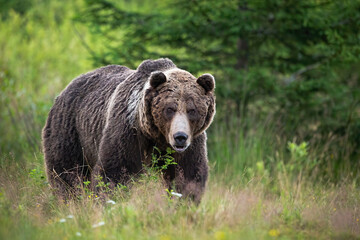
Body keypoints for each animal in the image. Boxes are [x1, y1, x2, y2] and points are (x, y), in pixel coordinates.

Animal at [42, 58, 217, 202]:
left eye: (192, 110)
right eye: (169, 109)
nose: (180, 137)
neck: (157, 136)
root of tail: (66, 88)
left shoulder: (191, 143)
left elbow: (188, 175)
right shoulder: (129, 132)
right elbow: (116, 171)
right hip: (71, 130)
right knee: (68, 173)